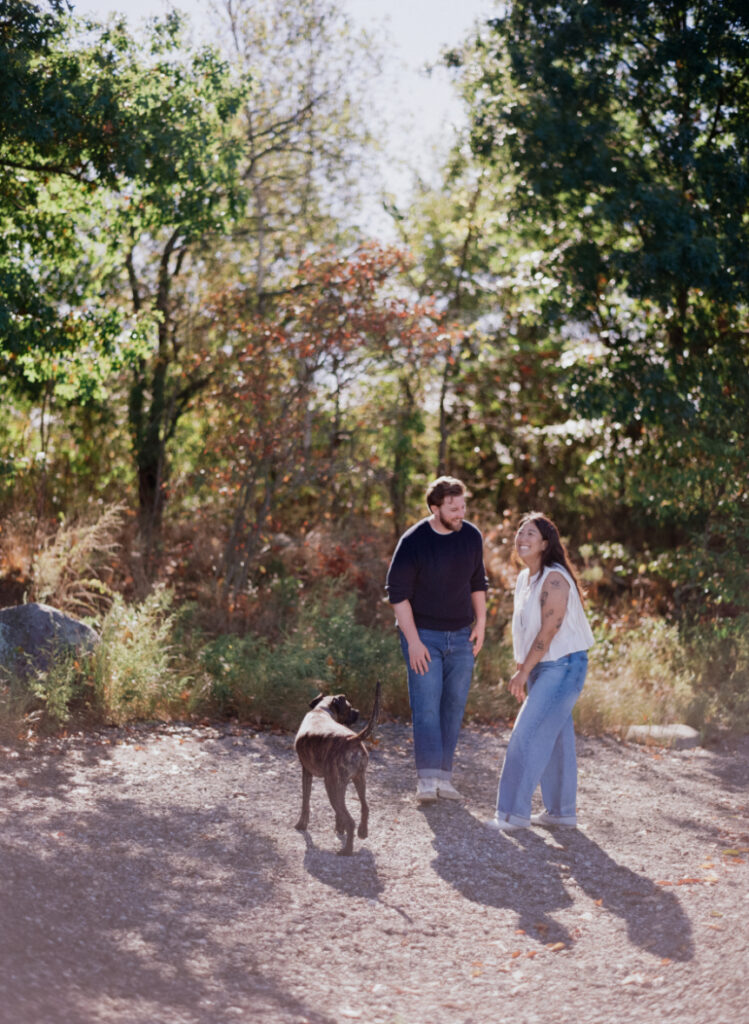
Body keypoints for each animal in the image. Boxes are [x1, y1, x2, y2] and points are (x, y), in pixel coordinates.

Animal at [293, 679, 381, 856]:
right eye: (349, 706)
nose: (358, 711)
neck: (321, 710)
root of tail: (353, 739)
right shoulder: (343, 783)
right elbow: (339, 813)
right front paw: (339, 827)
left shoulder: (306, 771)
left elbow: (305, 801)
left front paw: (301, 825)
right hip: (358, 780)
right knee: (364, 807)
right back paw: (362, 832)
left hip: (331, 786)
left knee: (351, 820)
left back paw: (347, 850)